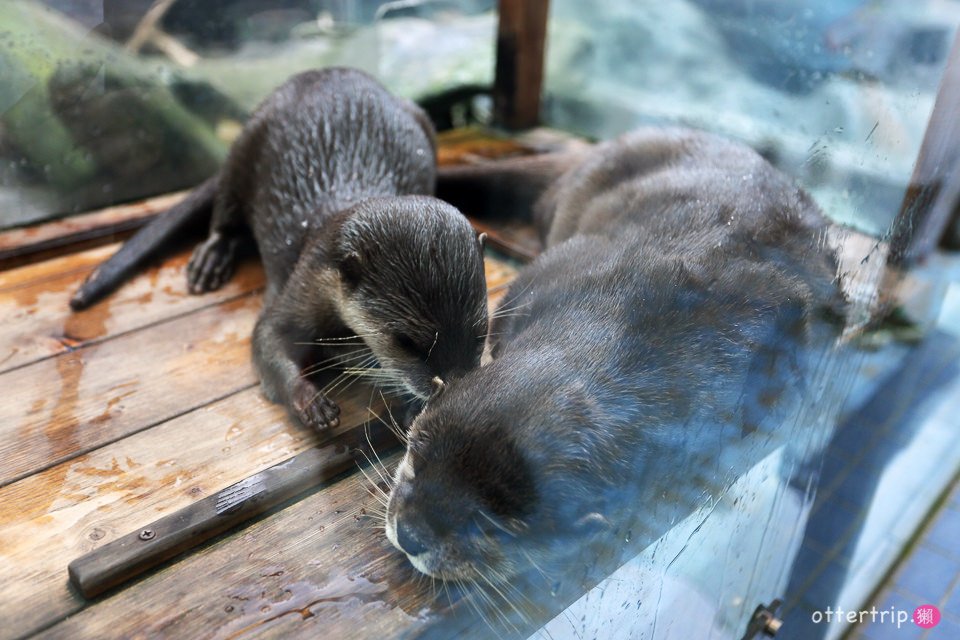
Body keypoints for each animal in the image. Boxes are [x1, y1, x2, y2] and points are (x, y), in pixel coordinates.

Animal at [69, 67, 488, 430]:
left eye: (482, 332)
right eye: (405, 342)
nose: (454, 383)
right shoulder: (301, 284)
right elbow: (266, 338)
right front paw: (308, 400)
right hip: (247, 139)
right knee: (226, 206)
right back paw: (212, 257)